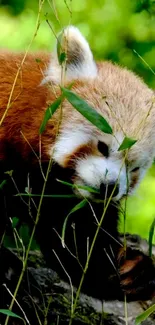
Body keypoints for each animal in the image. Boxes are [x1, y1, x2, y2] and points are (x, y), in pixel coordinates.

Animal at [0, 26, 155, 302]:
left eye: (134, 168)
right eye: (103, 146)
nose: (109, 187)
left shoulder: (61, 198)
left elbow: (73, 239)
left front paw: (132, 270)